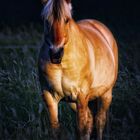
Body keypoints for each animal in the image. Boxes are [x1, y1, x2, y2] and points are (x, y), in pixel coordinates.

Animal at [38, 0, 118, 139]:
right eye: (46, 20)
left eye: (67, 20)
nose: (56, 54)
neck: (63, 65)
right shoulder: (50, 97)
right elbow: (55, 129)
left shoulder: (81, 96)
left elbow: (82, 130)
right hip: (74, 102)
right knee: (91, 119)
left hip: (106, 94)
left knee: (100, 120)